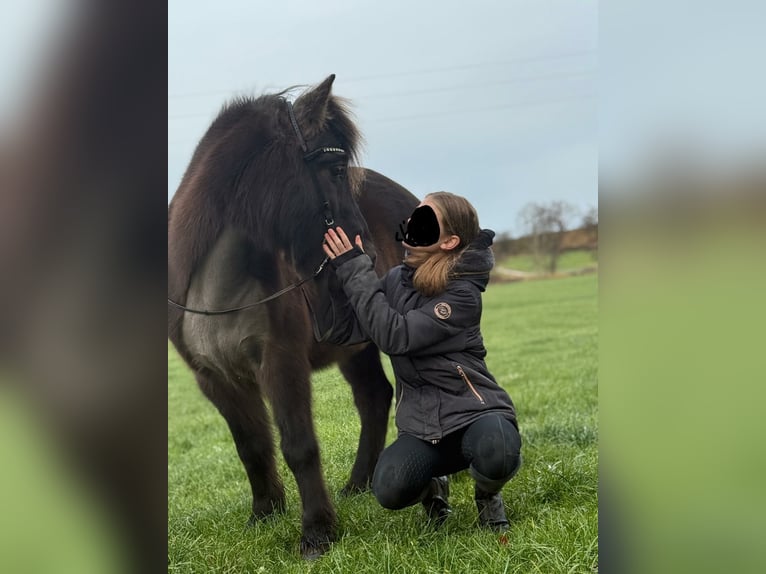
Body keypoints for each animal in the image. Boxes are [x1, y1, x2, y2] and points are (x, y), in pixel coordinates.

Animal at [168, 75, 419, 559]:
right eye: (336, 171)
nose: (367, 254)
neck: (218, 291)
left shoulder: (281, 362)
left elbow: (299, 445)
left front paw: (317, 531)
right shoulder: (214, 378)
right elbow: (252, 447)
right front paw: (265, 514)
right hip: (355, 349)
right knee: (373, 398)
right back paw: (357, 485)